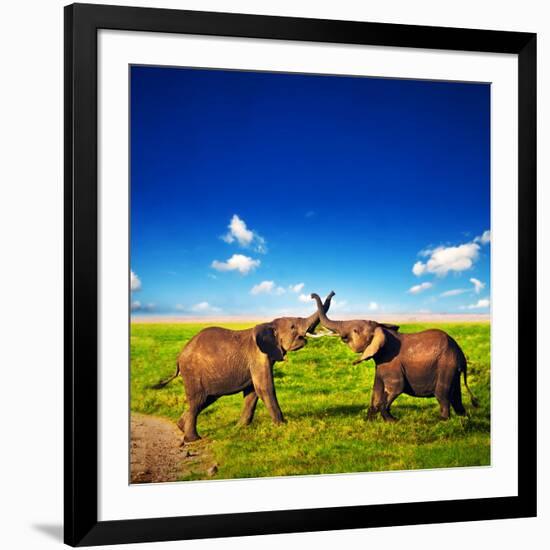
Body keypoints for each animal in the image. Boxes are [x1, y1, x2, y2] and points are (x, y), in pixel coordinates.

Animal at [152, 292, 336, 442]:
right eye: (292, 327)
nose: (312, 295)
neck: (269, 324)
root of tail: (179, 356)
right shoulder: (258, 356)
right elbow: (265, 388)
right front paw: (282, 425)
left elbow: (252, 392)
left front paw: (239, 428)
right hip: (192, 372)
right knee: (197, 400)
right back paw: (193, 439)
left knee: (205, 400)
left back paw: (180, 426)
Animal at [310, 294, 478, 422]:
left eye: (355, 331)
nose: (312, 295)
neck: (382, 330)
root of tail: (461, 354)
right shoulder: (380, 364)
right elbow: (376, 389)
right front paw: (369, 420)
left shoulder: (392, 363)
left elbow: (396, 387)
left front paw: (392, 421)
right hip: (453, 369)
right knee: (455, 395)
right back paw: (464, 417)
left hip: (446, 365)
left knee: (442, 394)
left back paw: (442, 421)